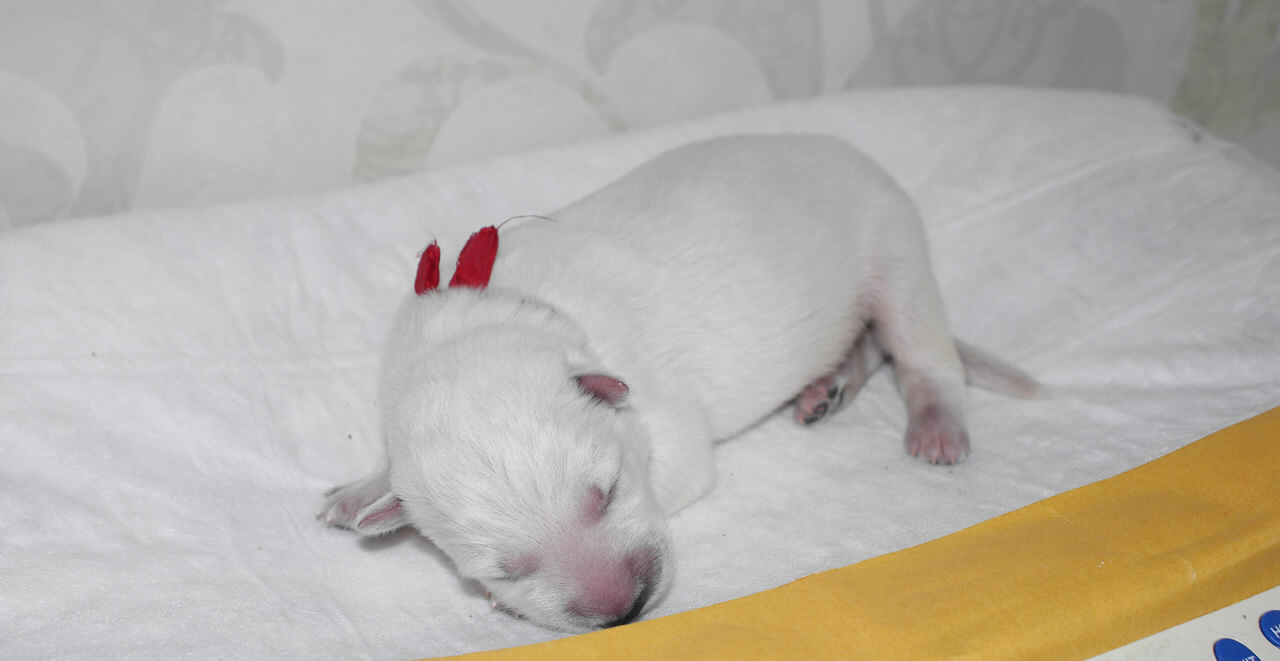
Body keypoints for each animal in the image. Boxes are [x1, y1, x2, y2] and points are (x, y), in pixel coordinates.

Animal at [318, 135, 1038, 632]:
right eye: (505, 567)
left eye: (607, 492)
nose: (625, 608)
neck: (498, 314)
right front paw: (362, 492)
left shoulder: (666, 418)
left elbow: (683, 464)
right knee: (863, 342)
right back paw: (825, 387)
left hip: (897, 250)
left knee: (921, 353)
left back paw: (935, 424)